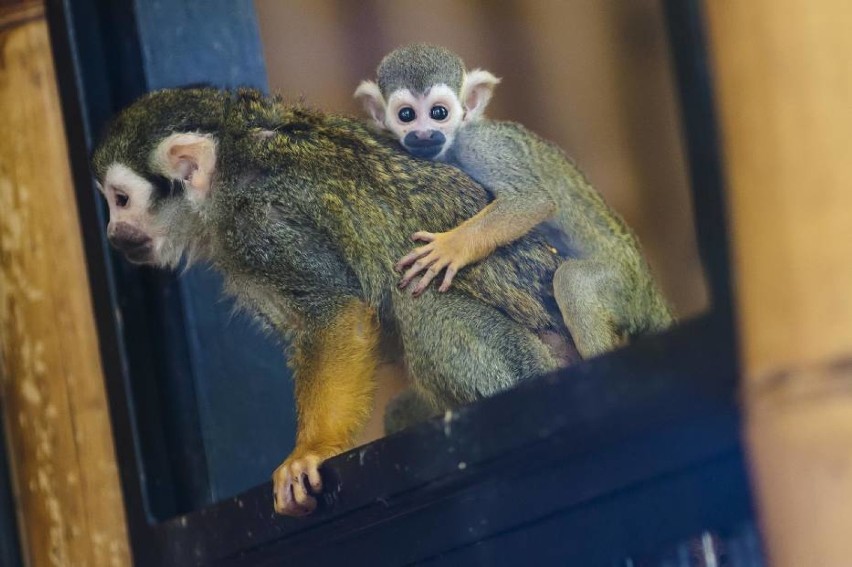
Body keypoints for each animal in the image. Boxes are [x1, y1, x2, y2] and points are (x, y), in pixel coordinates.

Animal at [354, 44, 672, 358]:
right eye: (406, 115)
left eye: (438, 112)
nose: (423, 134)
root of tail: (649, 289)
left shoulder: (479, 145)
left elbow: (532, 199)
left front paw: (451, 247)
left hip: (624, 285)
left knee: (573, 282)